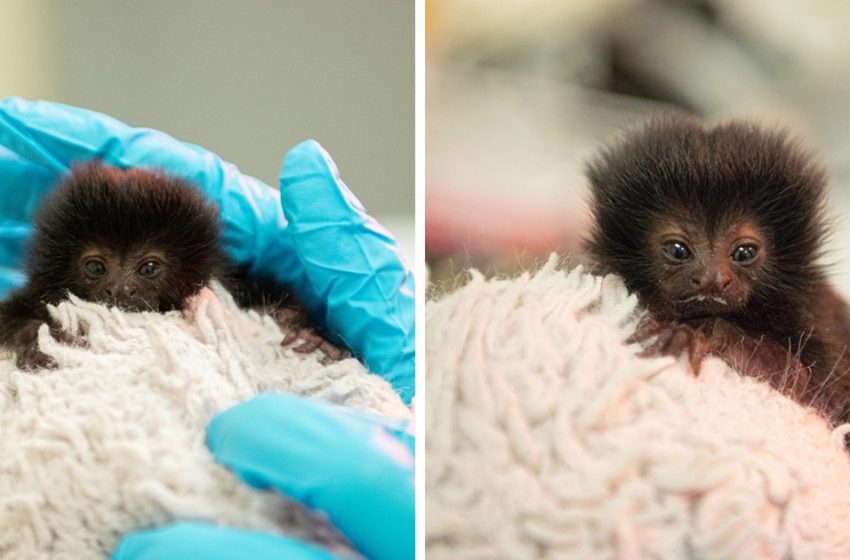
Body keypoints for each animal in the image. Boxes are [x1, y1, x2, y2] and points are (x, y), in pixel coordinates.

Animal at [588, 115, 850, 420]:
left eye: (744, 253)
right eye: (678, 250)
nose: (711, 279)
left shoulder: (811, 315)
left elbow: (805, 388)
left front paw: (695, 331)